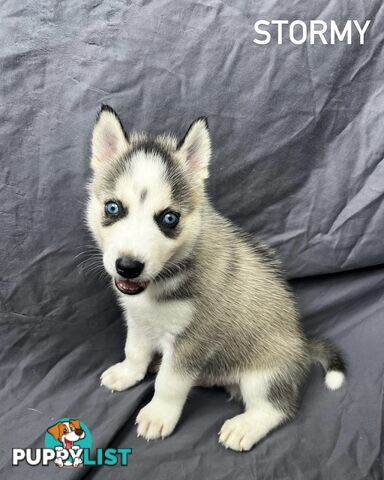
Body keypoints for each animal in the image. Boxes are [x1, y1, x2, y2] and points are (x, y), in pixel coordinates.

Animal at [87, 105, 344, 450]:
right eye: (113, 208)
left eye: (169, 218)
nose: (128, 266)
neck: (164, 279)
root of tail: (301, 345)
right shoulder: (138, 319)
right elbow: (135, 349)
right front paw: (129, 372)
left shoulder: (195, 339)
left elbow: (170, 382)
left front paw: (158, 414)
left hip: (265, 372)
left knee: (279, 406)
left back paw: (246, 426)